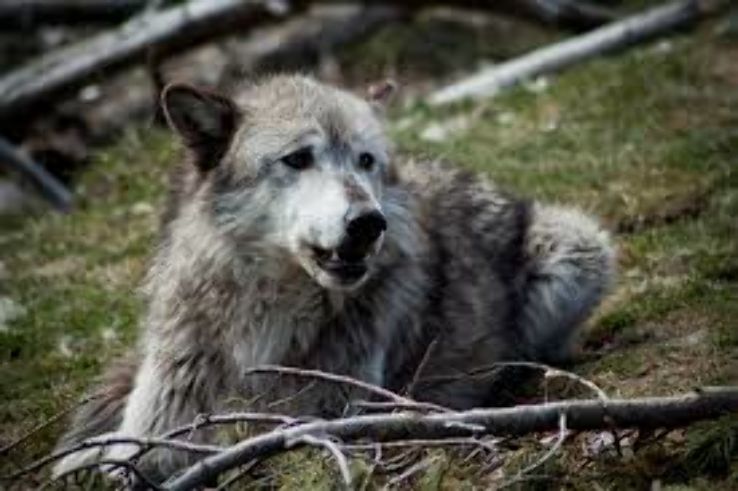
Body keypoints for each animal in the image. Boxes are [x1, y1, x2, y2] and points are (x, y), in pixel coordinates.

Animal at [53, 75, 615, 483]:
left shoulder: (320, 419)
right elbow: (119, 458)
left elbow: (223, 438)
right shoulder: (163, 414)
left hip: (578, 248)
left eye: (365, 161)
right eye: (298, 158)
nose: (369, 223)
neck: (269, 316)